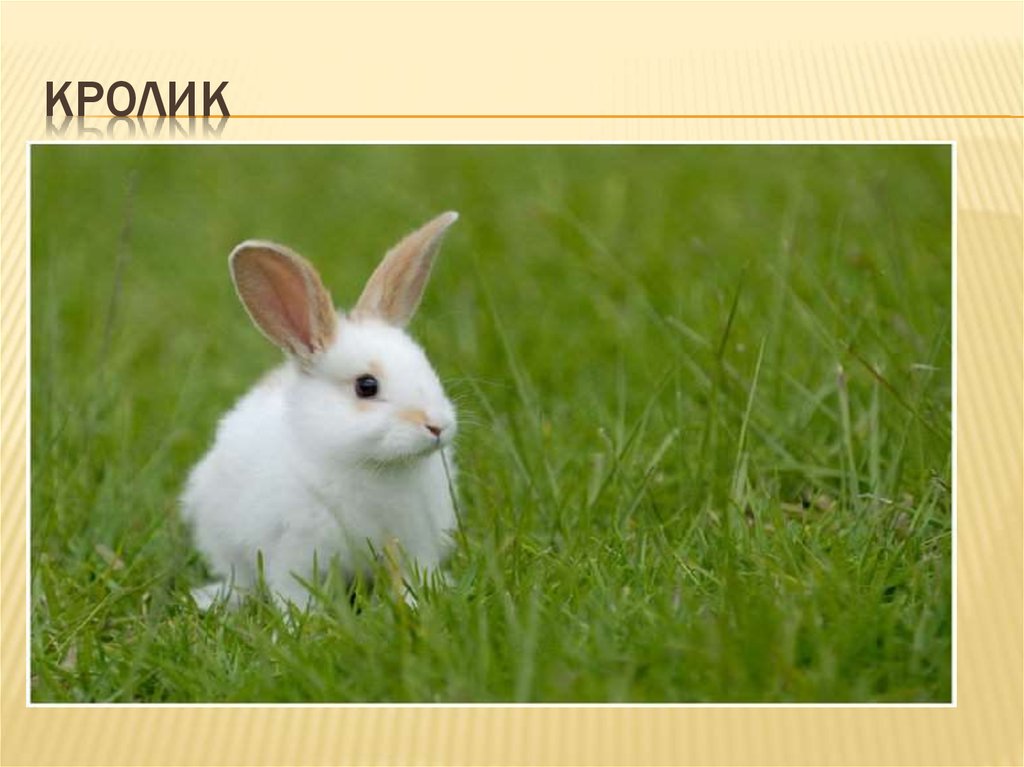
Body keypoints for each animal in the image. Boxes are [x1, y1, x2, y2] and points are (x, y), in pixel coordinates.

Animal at [181, 211, 461, 610]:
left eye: (427, 366)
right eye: (366, 386)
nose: (437, 426)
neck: (369, 465)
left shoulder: (414, 543)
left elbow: (413, 576)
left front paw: (419, 603)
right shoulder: (292, 552)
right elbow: (294, 592)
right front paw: (302, 620)